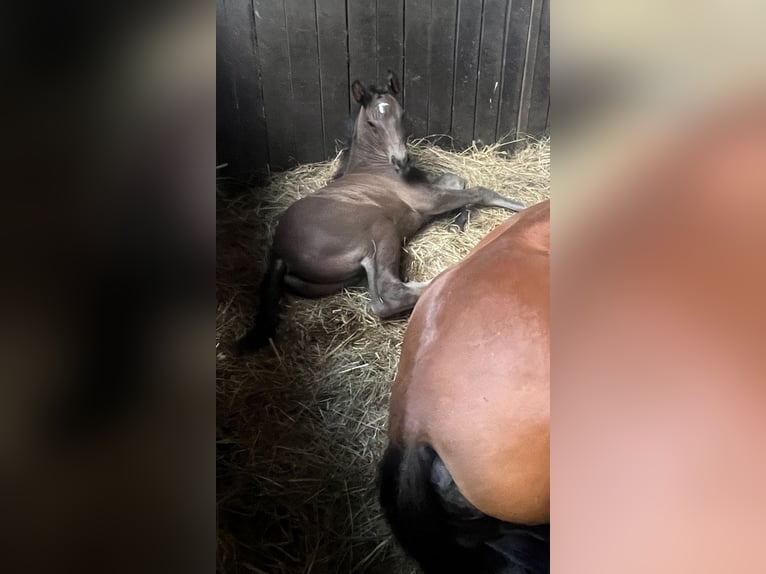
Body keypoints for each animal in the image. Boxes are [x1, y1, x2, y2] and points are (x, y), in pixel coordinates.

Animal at [236, 71, 526, 353]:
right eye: (373, 123)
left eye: (402, 114)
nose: (401, 161)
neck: (375, 165)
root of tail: (278, 253)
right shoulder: (426, 200)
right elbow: (479, 191)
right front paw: (523, 207)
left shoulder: (428, 190)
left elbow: (458, 180)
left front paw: (458, 220)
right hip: (381, 229)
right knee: (389, 294)